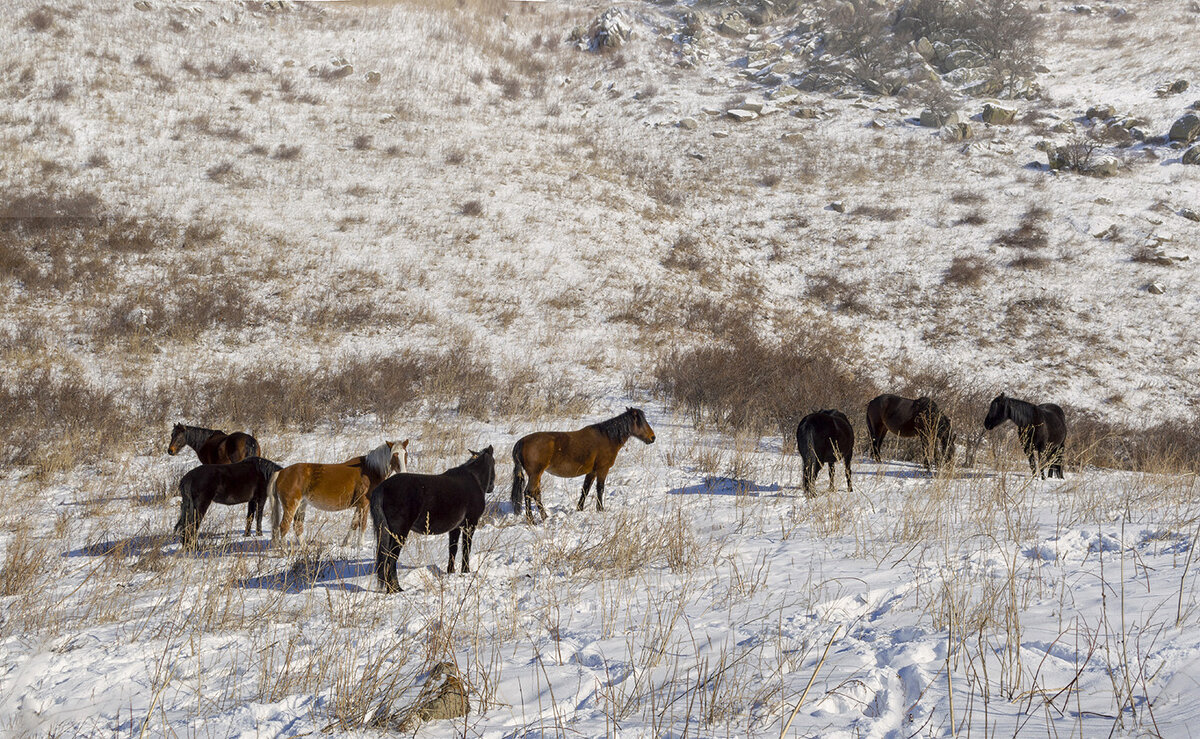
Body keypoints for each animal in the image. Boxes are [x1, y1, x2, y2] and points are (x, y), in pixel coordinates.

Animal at [268, 439, 408, 549]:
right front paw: (360, 546)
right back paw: (286, 551)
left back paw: (304, 549)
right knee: (283, 527)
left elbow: (354, 524)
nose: (404, 473)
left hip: (302, 505)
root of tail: (281, 472)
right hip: (291, 506)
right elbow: (362, 525)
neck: (370, 471)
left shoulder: (359, 505)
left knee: (297, 527)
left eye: (405, 454)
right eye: (394, 455)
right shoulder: (364, 504)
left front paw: (346, 543)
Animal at [367, 443, 494, 595]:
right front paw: (466, 571)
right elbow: (466, 549)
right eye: (493, 463)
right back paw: (396, 588)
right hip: (399, 533)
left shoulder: (455, 528)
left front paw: (451, 572)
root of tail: (383, 488)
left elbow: (453, 549)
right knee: (390, 559)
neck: (474, 479)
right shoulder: (470, 524)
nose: (491, 487)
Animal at [508, 407, 657, 523]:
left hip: (537, 475)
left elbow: (585, 489)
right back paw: (531, 520)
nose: (652, 438)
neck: (607, 437)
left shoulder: (592, 471)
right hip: (535, 474)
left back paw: (544, 517)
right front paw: (600, 509)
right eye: (640, 422)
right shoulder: (602, 469)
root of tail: (521, 441)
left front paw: (580, 509)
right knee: (528, 493)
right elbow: (600, 489)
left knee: (536, 494)